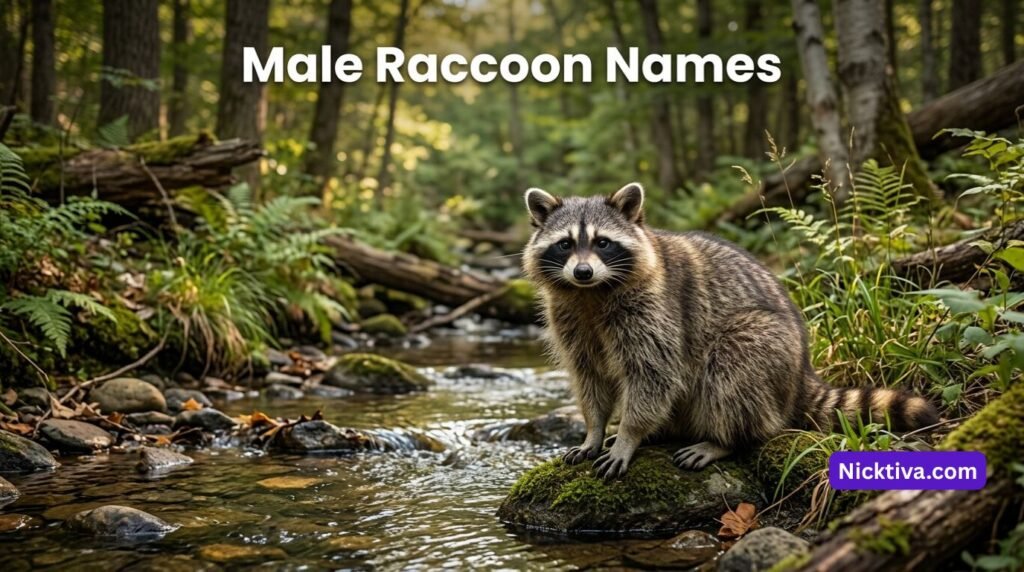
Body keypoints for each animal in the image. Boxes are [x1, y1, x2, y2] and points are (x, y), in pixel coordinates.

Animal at [523, 182, 938, 479]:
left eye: (603, 243)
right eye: (565, 244)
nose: (582, 271)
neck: (591, 293)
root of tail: (802, 373)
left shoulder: (656, 310)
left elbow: (655, 374)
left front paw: (628, 435)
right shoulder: (570, 317)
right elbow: (590, 377)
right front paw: (594, 430)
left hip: (766, 343)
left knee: (732, 368)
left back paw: (727, 440)